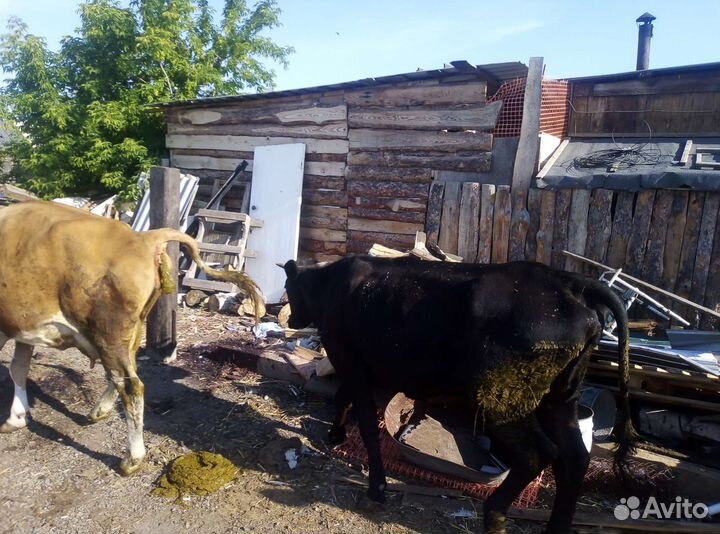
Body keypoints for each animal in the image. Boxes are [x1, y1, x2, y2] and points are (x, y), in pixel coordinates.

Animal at [0, 200, 262, 475]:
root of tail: (144, 237)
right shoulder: (21, 329)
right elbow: (18, 369)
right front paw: (17, 417)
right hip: (129, 330)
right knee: (124, 374)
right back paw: (101, 411)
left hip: (109, 332)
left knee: (131, 386)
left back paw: (132, 458)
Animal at [283, 255, 636, 534]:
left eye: (288, 288)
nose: (291, 318)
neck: (330, 284)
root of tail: (566, 283)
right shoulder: (360, 367)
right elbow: (343, 398)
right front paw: (336, 434)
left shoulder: (351, 361)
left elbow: (367, 425)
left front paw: (377, 487)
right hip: (560, 399)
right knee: (574, 458)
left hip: (502, 400)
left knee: (538, 454)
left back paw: (494, 515)